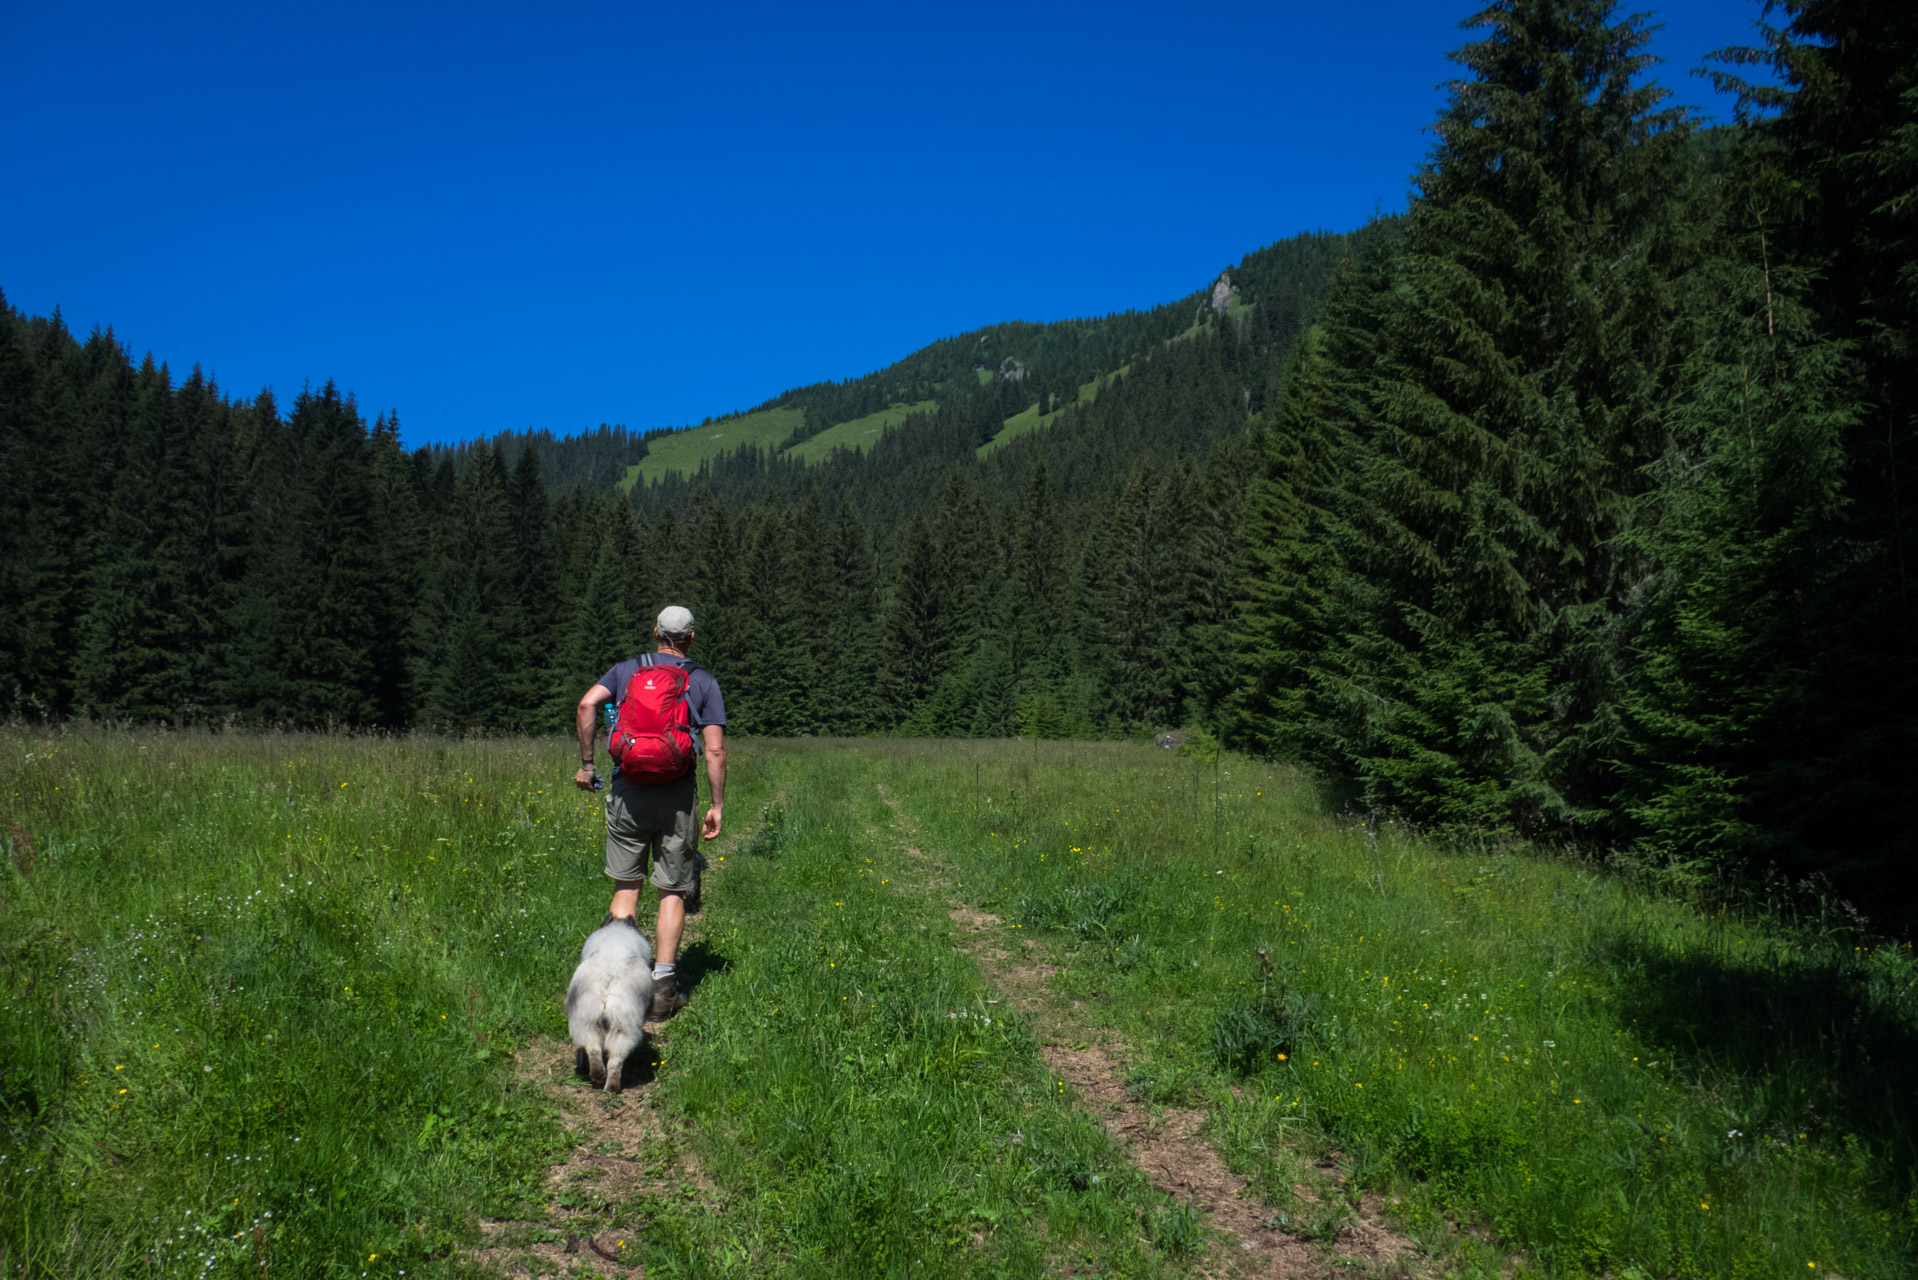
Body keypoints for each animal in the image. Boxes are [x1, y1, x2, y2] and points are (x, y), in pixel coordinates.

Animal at [563, 921, 655, 1090]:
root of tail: (610, 972)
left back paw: (600, 1079)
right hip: (621, 1027)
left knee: (595, 1050)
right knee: (614, 1059)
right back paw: (610, 1087)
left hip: (587, 1020)